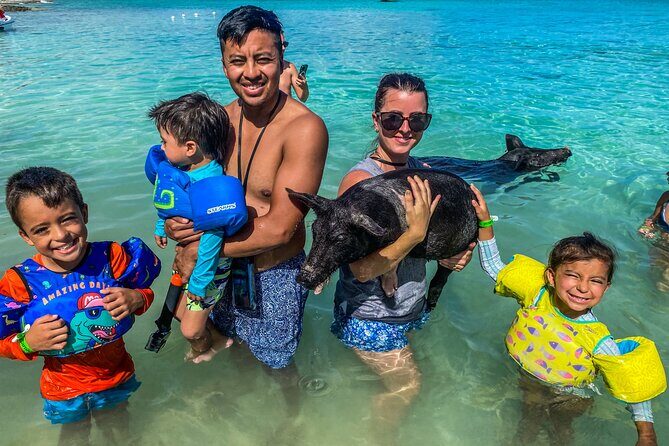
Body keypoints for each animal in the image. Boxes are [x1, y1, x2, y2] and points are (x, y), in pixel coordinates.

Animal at [288, 169, 478, 311]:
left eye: (340, 238)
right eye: (314, 230)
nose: (303, 278)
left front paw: (390, 292)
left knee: (441, 278)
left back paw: (430, 306)